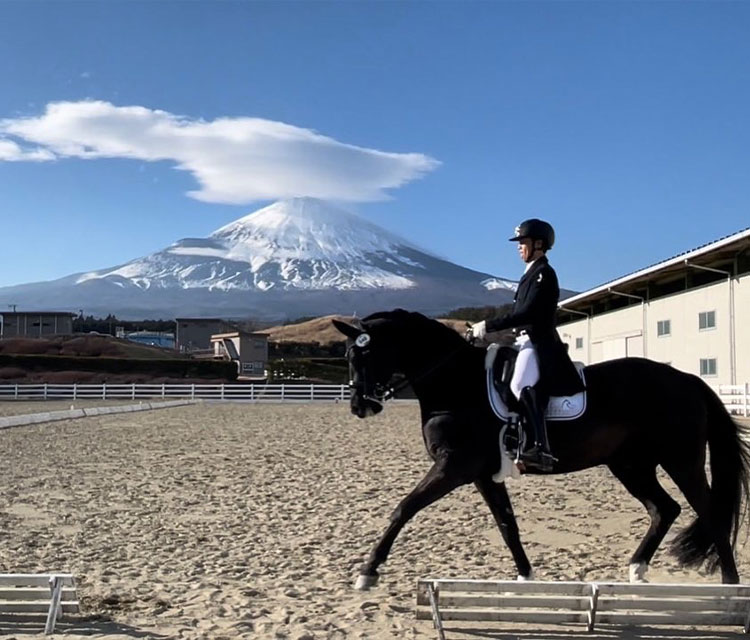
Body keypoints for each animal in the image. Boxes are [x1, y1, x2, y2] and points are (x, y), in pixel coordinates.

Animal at [334, 310, 750, 592]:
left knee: (709, 512)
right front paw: (526, 575)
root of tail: (688, 380)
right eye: (348, 358)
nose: (359, 407)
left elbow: (403, 508)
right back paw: (637, 569)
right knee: (664, 509)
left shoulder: (454, 467)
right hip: (631, 465)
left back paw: (729, 587)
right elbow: (507, 525)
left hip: (681, 460)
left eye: (365, 356)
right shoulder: (482, 474)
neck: (456, 383)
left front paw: (367, 572)